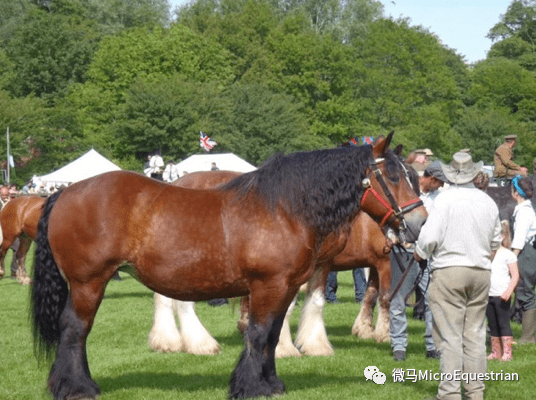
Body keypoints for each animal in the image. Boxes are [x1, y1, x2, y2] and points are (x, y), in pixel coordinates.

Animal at [30, 134, 428, 400]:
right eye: (394, 177)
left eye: (413, 176)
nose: (420, 222)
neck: (284, 208)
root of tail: (63, 192)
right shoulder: (268, 285)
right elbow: (258, 333)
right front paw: (251, 386)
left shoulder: (285, 288)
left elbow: (272, 335)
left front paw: (271, 382)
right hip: (88, 282)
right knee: (74, 329)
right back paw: (78, 387)